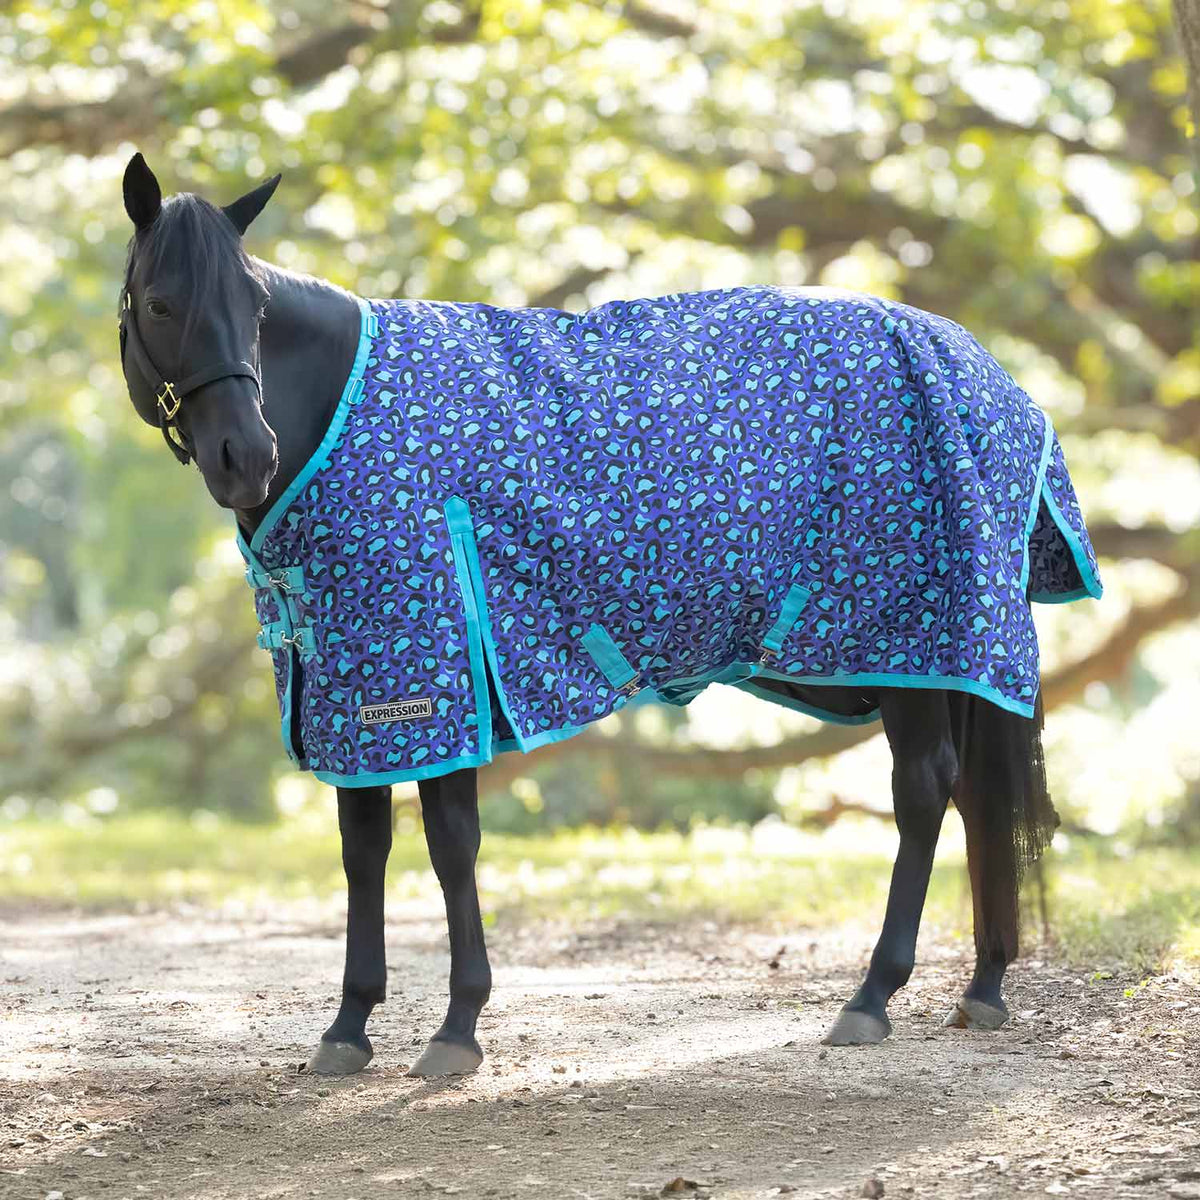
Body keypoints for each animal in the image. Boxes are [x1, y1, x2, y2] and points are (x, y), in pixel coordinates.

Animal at [116, 153, 1101, 1077]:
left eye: (254, 305)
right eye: (160, 304)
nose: (247, 456)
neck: (337, 409)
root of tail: (982, 366)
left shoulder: (436, 674)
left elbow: (451, 844)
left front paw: (457, 1026)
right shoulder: (354, 693)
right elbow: (364, 848)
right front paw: (349, 1025)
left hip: (907, 643)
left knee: (924, 789)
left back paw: (873, 996)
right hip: (933, 656)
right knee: (972, 795)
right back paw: (982, 986)